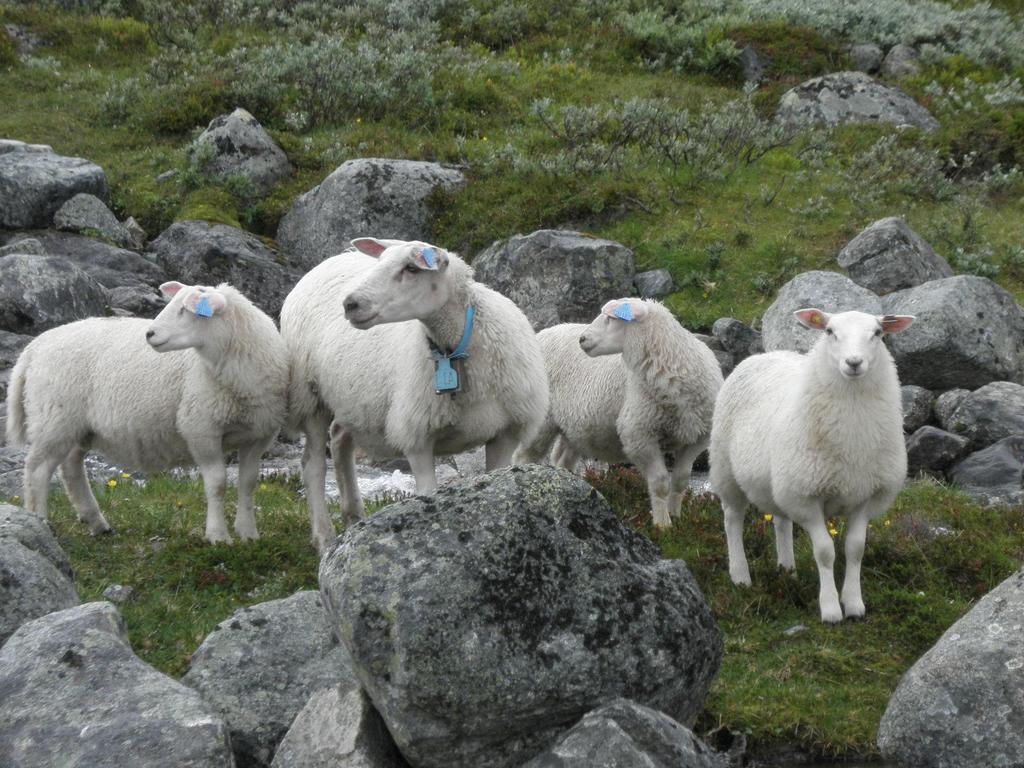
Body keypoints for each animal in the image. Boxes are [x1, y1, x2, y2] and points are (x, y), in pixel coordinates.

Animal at [7, 284, 288, 548]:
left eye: (186, 309)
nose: (149, 334)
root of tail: (33, 348)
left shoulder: (259, 434)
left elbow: (248, 483)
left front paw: (248, 533)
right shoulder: (200, 427)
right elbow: (217, 484)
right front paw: (218, 536)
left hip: (78, 425)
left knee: (71, 465)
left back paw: (96, 522)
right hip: (54, 418)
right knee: (37, 470)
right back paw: (40, 522)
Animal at [280, 237, 548, 548]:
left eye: (411, 268)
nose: (350, 304)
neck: (454, 348)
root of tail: (328, 261)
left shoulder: (506, 433)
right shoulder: (418, 435)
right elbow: (427, 495)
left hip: (354, 400)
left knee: (340, 440)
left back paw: (354, 515)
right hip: (310, 395)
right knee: (312, 465)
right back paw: (324, 538)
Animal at [516, 299, 724, 528]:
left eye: (611, 318)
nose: (582, 339)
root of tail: (542, 332)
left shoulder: (697, 437)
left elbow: (680, 479)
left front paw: (677, 517)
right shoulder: (639, 435)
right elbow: (660, 482)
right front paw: (662, 525)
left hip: (574, 429)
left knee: (562, 460)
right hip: (541, 419)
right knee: (523, 456)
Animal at [708, 309, 917, 626]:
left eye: (878, 333)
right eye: (829, 331)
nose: (853, 362)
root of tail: (763, 354)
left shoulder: (865, 497)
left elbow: (855, 549)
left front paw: (854, 604)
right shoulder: (807, 498)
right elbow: (825, 552)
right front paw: (830, 609)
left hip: (780, 482)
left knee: (781, 522)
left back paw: (787, 571)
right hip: (726, 469)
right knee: (732, 519)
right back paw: (740, 576)